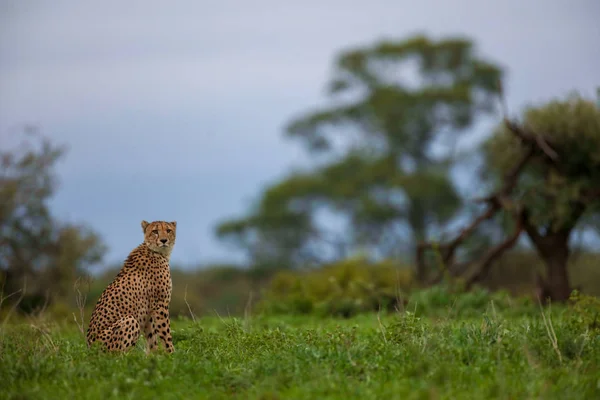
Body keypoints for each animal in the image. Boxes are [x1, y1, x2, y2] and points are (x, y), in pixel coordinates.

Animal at [85, 220, 177, 354]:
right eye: (155, 231)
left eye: (169, 230)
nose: (164, 240)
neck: (155, 251)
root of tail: (89, 348)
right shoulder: (161, 304)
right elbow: (166, 334)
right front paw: (172, 354)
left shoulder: (149, 311)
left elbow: (152, 337)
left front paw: (154, 356)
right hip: (129, 320)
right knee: (117, 355)